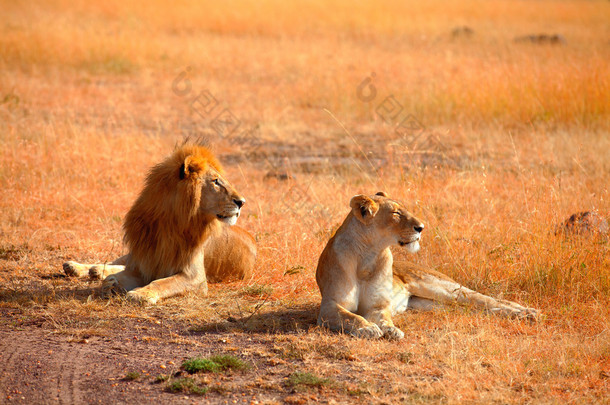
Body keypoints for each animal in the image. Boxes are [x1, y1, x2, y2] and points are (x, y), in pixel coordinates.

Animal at [65, 142, 255, 304]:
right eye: (216, 181)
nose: (242, 202)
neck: (169, 223)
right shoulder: (145, 260)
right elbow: (120, 275)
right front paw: (112, 283)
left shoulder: (196, 277)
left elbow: (161, 282)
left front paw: (140, 293)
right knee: (115, 262)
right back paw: (77, 267)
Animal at [318, 192, 536, 338]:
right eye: (396, 214)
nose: (421, 227)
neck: (368, 253)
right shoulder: (329, 306)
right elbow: (350, 316)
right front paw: (368, 328)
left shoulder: (377, 305)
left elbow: (384, 316)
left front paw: (390, 329)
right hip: (436, 304)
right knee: (479, 309)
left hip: (443, 289)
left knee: (490, 300)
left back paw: (527, 313)